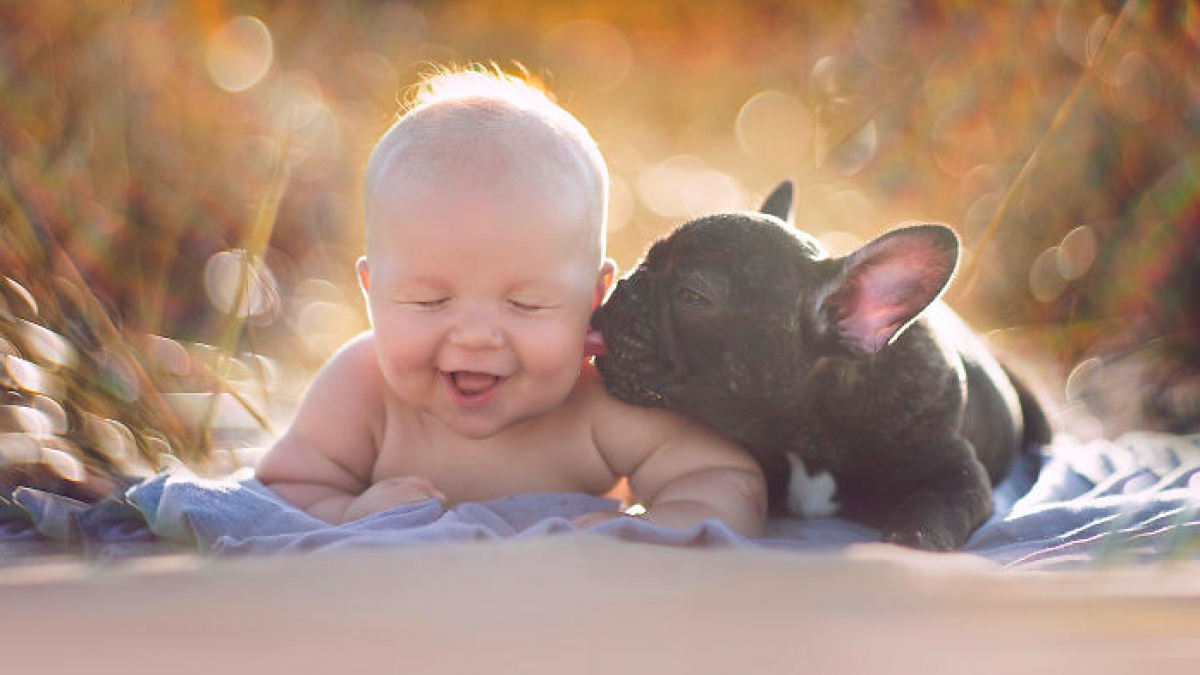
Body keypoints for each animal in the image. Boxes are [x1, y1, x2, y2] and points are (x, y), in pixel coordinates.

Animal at [592, 181, 1051, 550]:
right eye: (646, 261)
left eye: (692, 296)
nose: (625, 285)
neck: (809, 435)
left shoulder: (959, 473)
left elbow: (933, 511)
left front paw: (908, 543)